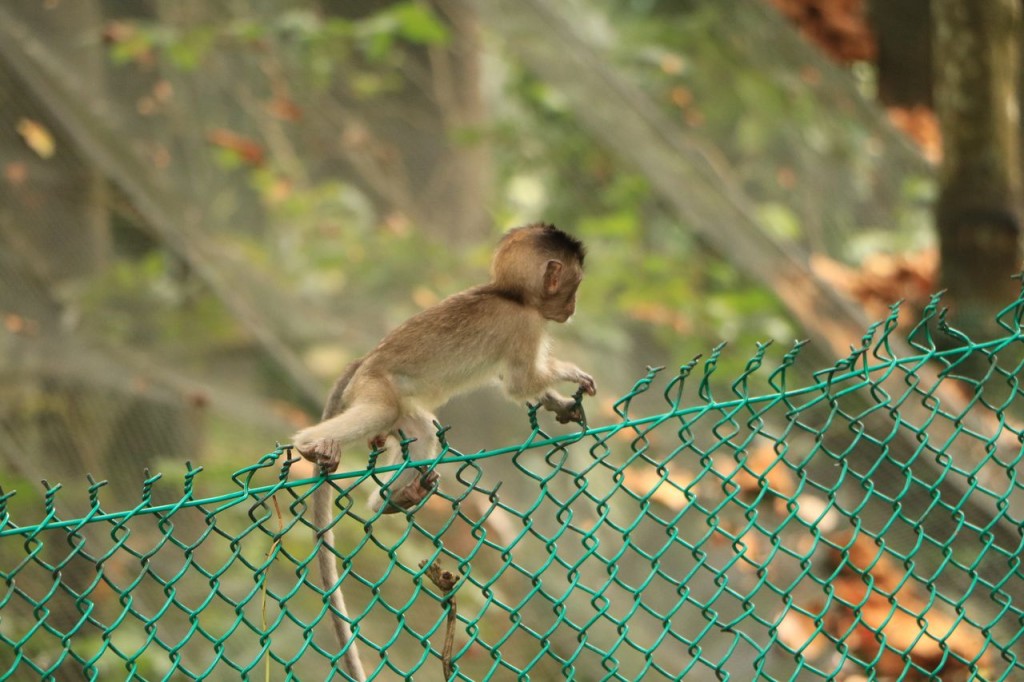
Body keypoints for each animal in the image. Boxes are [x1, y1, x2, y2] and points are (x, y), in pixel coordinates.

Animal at [291, 223, 595, 677]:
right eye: (573, 287)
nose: (574, 307)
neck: (511, 295)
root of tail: (364, 361)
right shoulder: (524, 324)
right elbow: (519, 382)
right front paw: (570, 374)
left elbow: (516, 384)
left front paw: (558, 403)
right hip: (376, 386)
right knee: (379, 413)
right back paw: (311, 444)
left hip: (399, 403)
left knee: (420, 433)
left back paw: (393, 498)